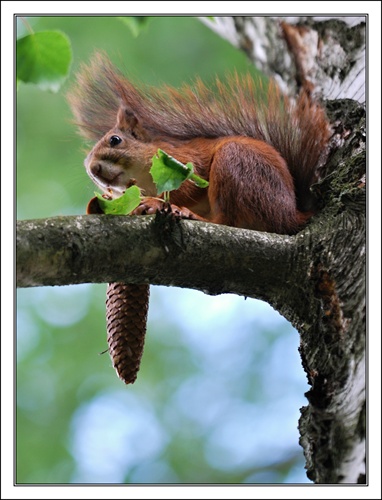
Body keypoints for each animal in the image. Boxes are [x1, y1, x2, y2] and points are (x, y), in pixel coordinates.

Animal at [68, 52, 332, 236]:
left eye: (115, 140)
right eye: (86, 168)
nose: (94, 170)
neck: (144, 178)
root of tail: (292, 214)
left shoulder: (184, 161)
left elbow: (185, 189)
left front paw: (154, 202)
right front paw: (101, 203)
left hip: (236, 163)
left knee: (226, 221)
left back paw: (192, 215)